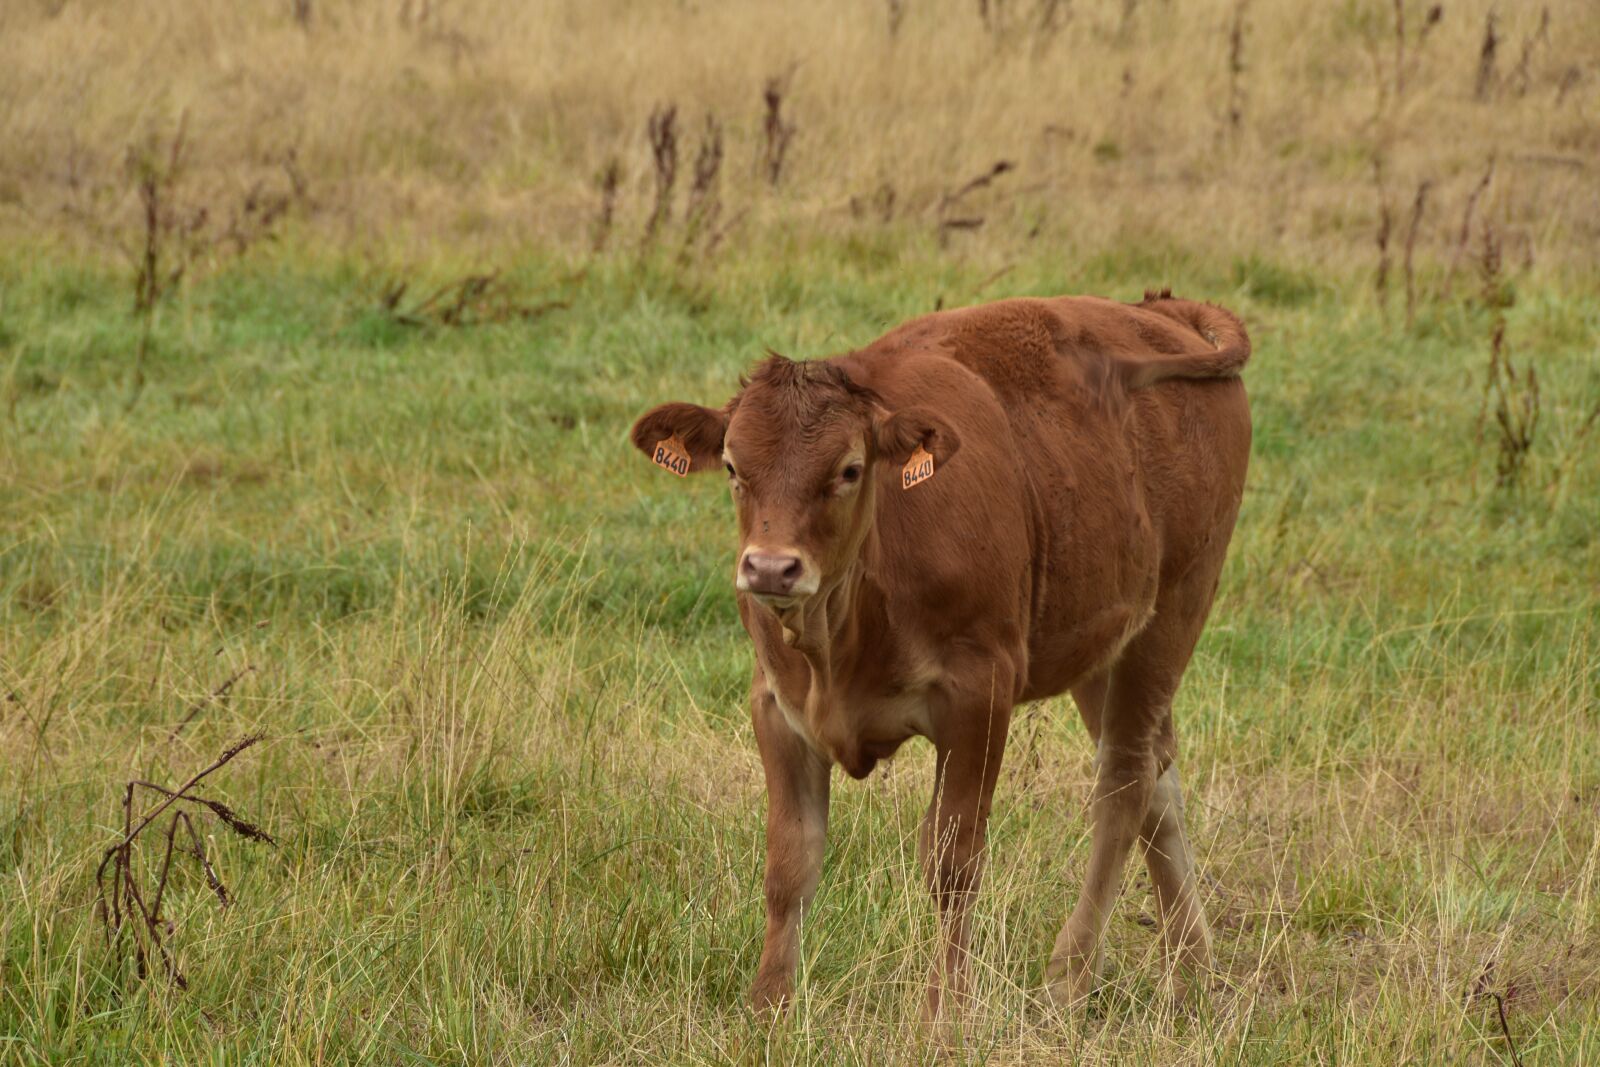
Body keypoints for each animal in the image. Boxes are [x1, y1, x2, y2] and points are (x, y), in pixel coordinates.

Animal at [630, 290, 1251, 1019]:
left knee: (1124, 781)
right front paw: (768, 1005)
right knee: (1157, 777)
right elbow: (790, 861)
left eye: (849, 469)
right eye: (732, 467)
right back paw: (1193, 973)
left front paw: (946, 1012)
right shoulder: (777, 707)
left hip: (1175, 609)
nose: (771, 568)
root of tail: (1160, 311)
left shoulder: (979, 698)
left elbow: (953, 863)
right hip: (1105, 639)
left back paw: (1068, 977)